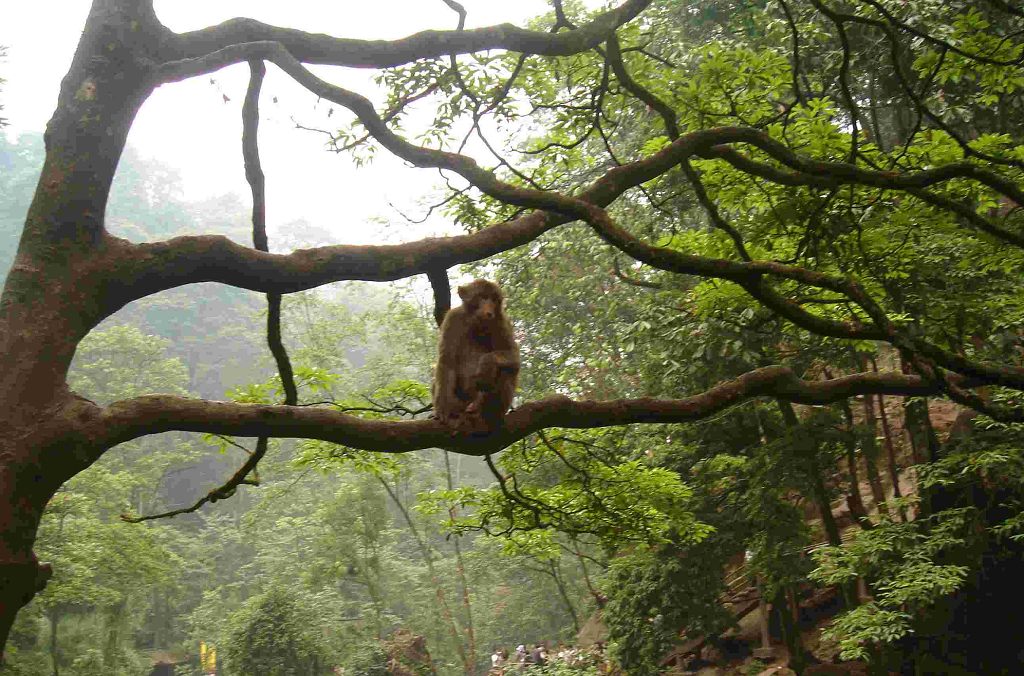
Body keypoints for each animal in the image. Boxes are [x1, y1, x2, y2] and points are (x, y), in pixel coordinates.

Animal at [432, 278, 520, 432]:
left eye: (493, 299)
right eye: (483, 297)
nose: (489, 310)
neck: (476, 324)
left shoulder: (500, 322)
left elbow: (514, 356)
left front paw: (486, 363)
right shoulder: (452, 319)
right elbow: (447, 362)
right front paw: (443, 409)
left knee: (506, 370)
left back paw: (484, 411)